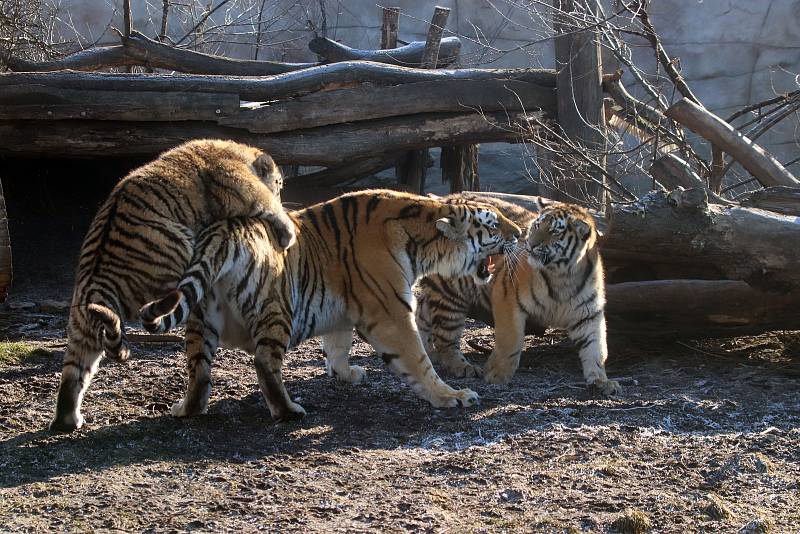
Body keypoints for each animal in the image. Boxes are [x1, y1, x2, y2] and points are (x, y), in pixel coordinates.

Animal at [49, 139, 296, 436]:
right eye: (279, 184)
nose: (281, 190)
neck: (238, 153)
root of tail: (98, 282)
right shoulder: (242, 184)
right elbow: (269, 207)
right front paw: (288, 233)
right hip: (181, 257)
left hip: (81, 327)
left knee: (72, 375)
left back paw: (66, 422)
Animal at [138, 191, 520, 420]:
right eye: (493, 224)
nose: (518, 233)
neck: (422, 239)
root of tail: (225, 229)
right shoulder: (393, 313)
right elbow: (419, 361)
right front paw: (451, 396)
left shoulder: (341, 310)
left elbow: (338, 345)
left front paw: (346, 374)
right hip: (275, 309)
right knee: (264, 362)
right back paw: (289, 411)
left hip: (201, 318)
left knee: (198, 368)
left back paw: (187, 409)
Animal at [416, 194, 620, 398]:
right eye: (537, 225)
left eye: (555, 232)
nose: (530, 244)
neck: (562, 276)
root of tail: (444, 198)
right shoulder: (507, 296)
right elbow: (511, 340)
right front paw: (497, 374)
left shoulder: (589, 314)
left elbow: (597, 348)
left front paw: (601, 381)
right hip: (451, 296)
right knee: (446, 340)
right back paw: (462, 366)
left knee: (421, 315)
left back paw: (428, 353)